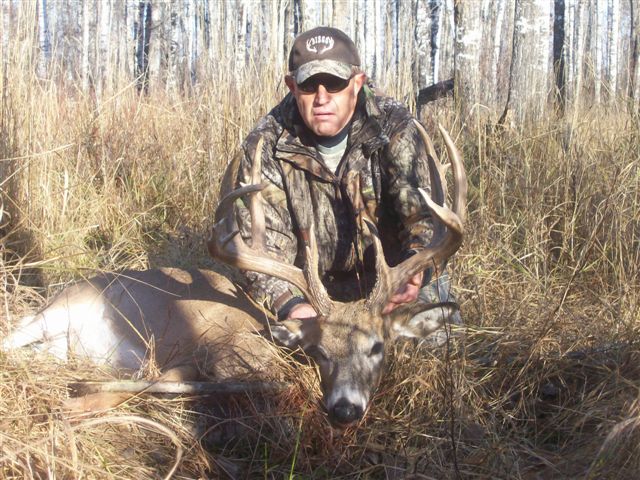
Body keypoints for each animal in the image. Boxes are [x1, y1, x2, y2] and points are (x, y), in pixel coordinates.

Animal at [1, 121, 466, 427]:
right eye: (318, 351)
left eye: (377, 347)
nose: (345, 409)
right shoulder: (203, 349)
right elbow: (155, 383)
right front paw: (74, 401)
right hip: (54, 313)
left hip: (56, 344)